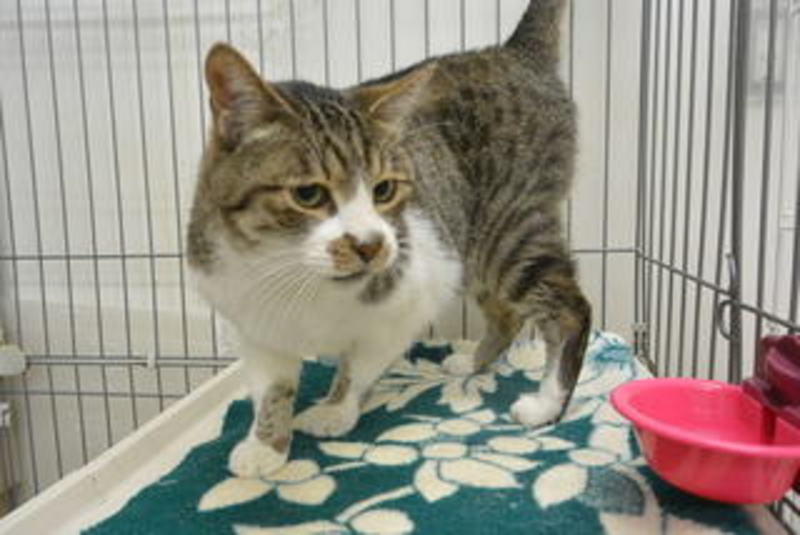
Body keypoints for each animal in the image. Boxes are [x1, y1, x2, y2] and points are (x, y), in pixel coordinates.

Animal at [187, 0, 590, 479]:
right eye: (309, 194)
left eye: (383, 189)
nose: (370, 244)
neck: (292, 273)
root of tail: (514, 51)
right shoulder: (250, 317)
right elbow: (274, 384)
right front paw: (265, 443)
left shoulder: (407, 303)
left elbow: (359, 363)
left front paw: (335, 410)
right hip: (471, 239)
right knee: (506, 313)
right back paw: (472, 362)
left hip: (509, 223)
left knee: (569, 306)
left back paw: (547, 403)